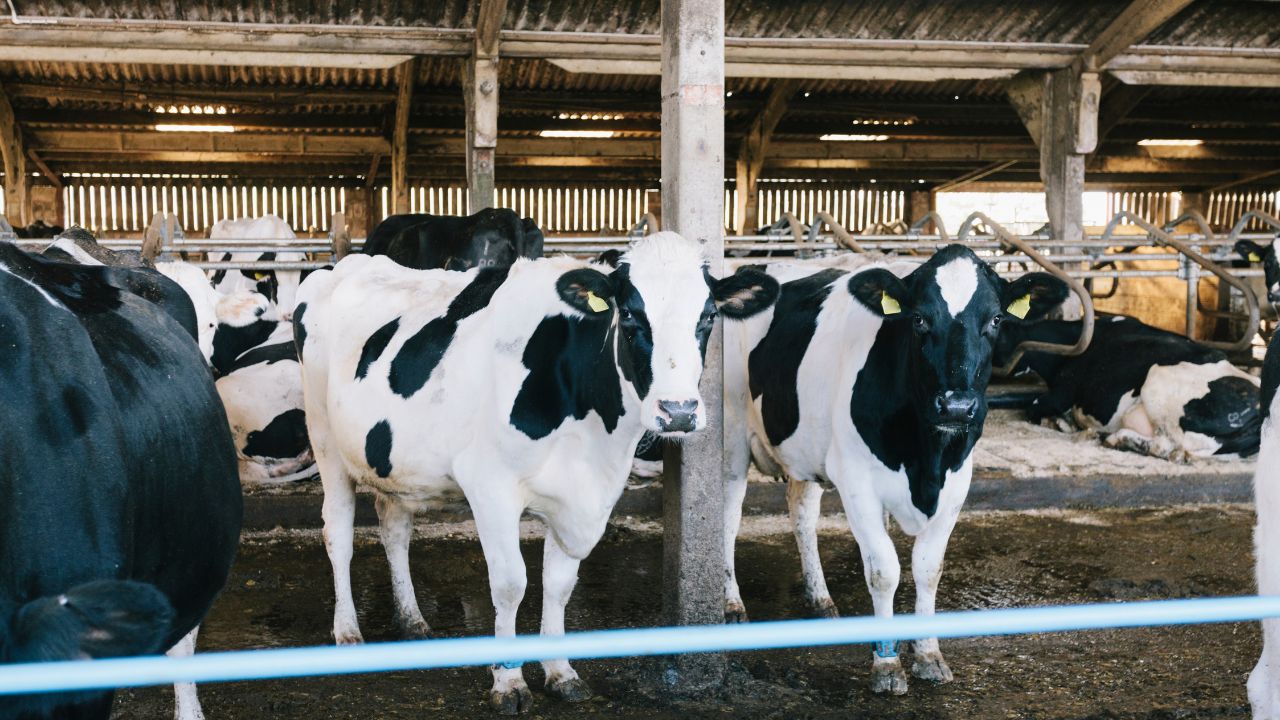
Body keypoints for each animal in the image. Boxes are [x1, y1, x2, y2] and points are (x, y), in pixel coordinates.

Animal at [295, 232, 777, 713]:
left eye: (708, 316)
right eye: (629, 315)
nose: (678, 412)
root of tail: (348, 265)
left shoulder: (585, 496)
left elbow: (559, 585)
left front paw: (561, 672)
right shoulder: (489, 486)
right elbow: (511, 584)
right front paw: (508, 682)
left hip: (390, 461)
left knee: (394, 528)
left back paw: (412, 620)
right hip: (325, 440)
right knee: (337, 534)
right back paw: (347, 630)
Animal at [723, 245, 1068, 695]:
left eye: (995, 319)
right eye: (918, 318)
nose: (956, 406)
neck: (925, 458)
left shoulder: (957, 483)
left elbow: (928, 568)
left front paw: (929, 654)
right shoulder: (856, 482)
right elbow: (884, 570)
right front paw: (887, 665)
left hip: (807, 446)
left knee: (802, 514)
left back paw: (820, 597)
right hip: (729, 438)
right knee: (726, 517)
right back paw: (731, 604)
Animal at [993, 314, 1261, 461]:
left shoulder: (1061, 392)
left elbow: (1033, 408)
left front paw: (1061, 422)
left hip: (1158, 382)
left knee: (1164, 447)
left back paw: (1112, 438)